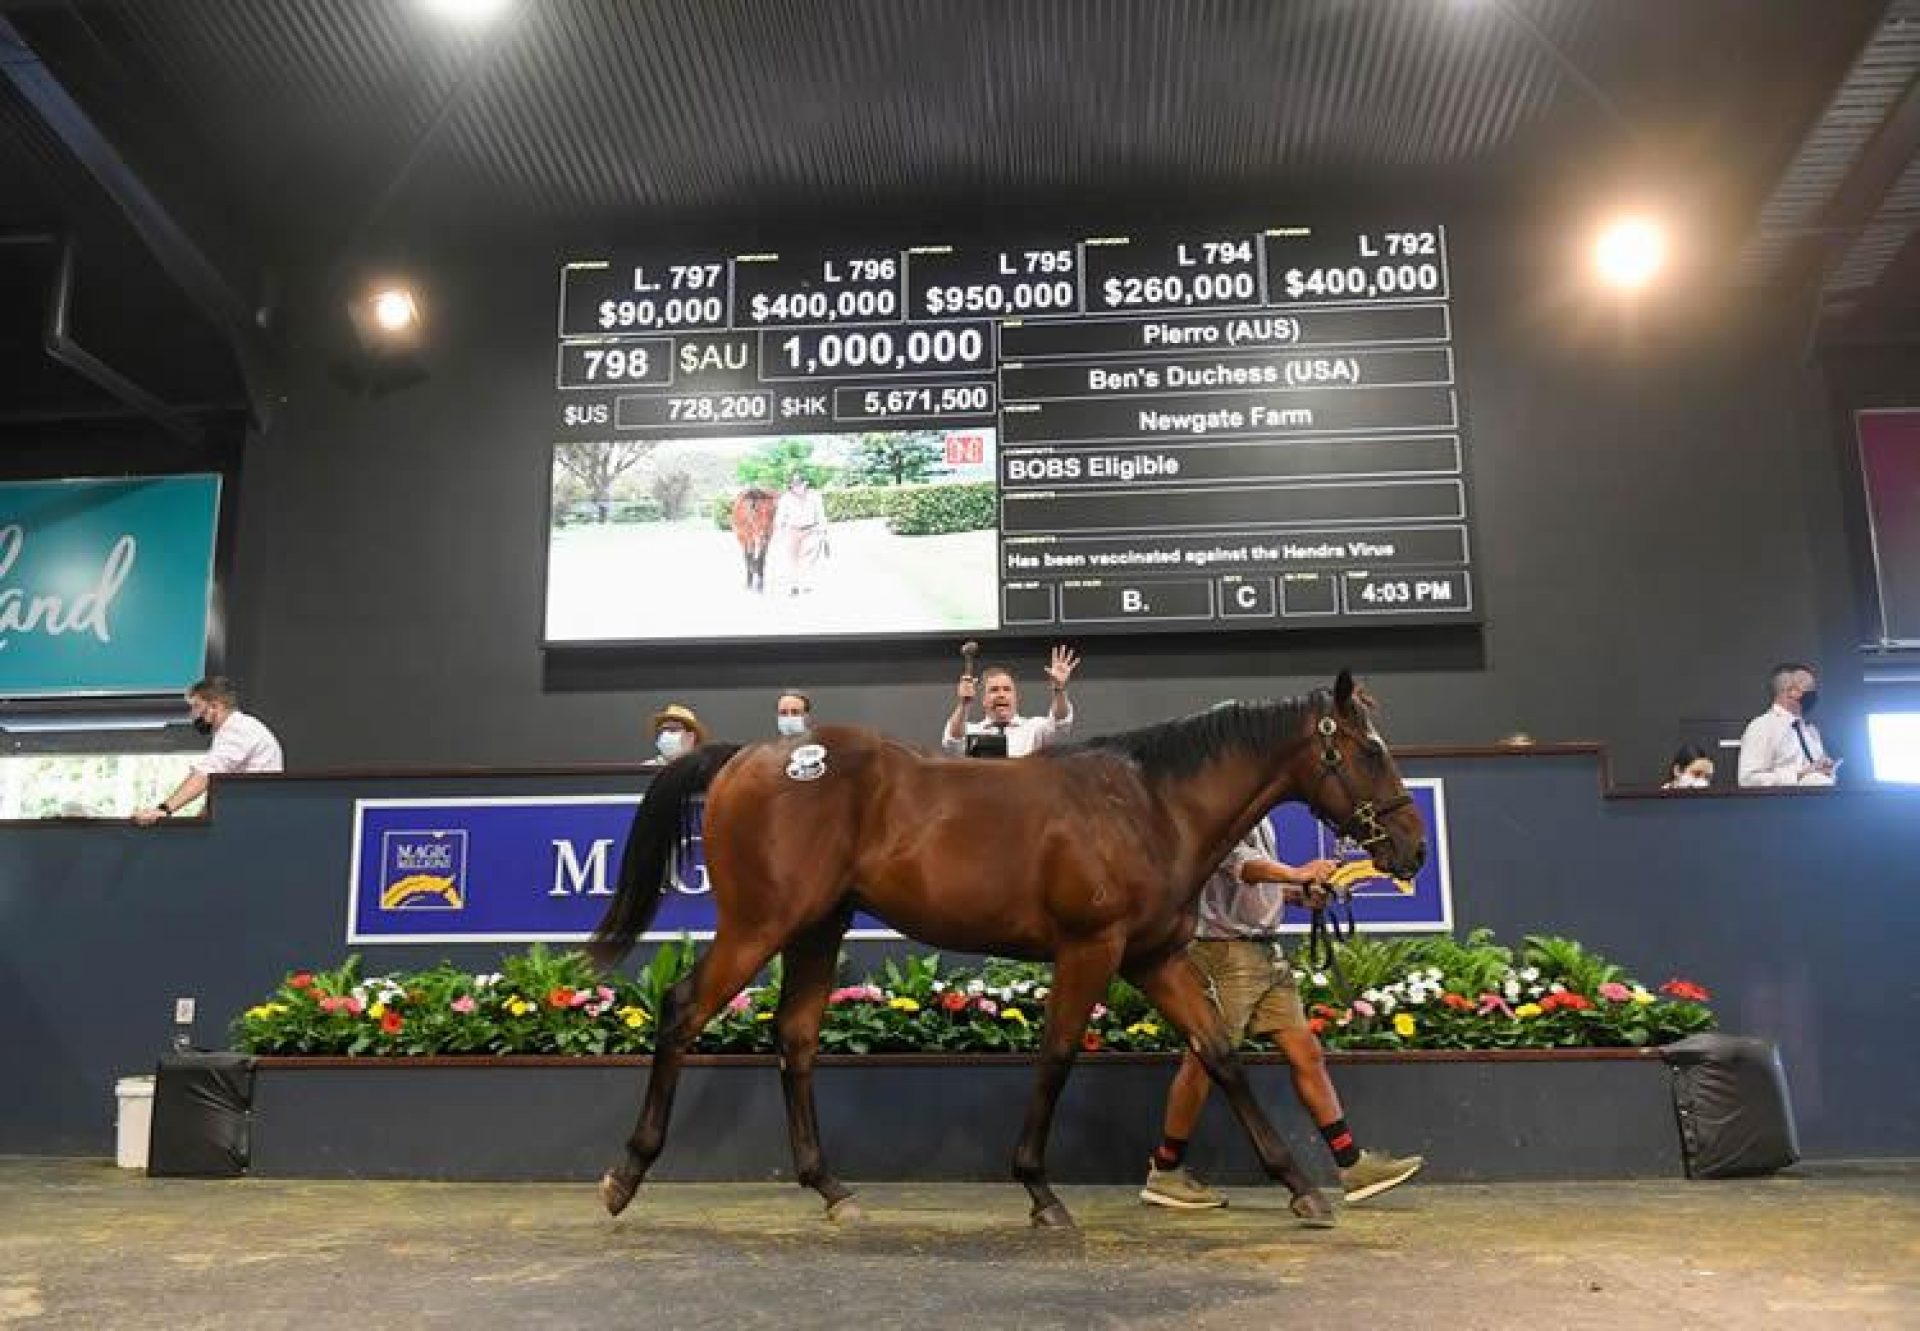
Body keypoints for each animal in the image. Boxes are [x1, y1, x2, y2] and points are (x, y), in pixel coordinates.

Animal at [587, 668, 1428, 1229]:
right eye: (1370, 750)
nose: (1412, 848)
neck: (1149, 804)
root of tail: (751, 755)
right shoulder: (1091, 950)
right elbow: (1056, 1055)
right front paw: (1040, 1191)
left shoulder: (1152, 957)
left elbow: (1220, 1054)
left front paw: (1302, 1187)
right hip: (760, 924)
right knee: (682, 1009)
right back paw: (624, 1175)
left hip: (817, 929)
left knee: (794, 1038)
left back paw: (833, 1190)